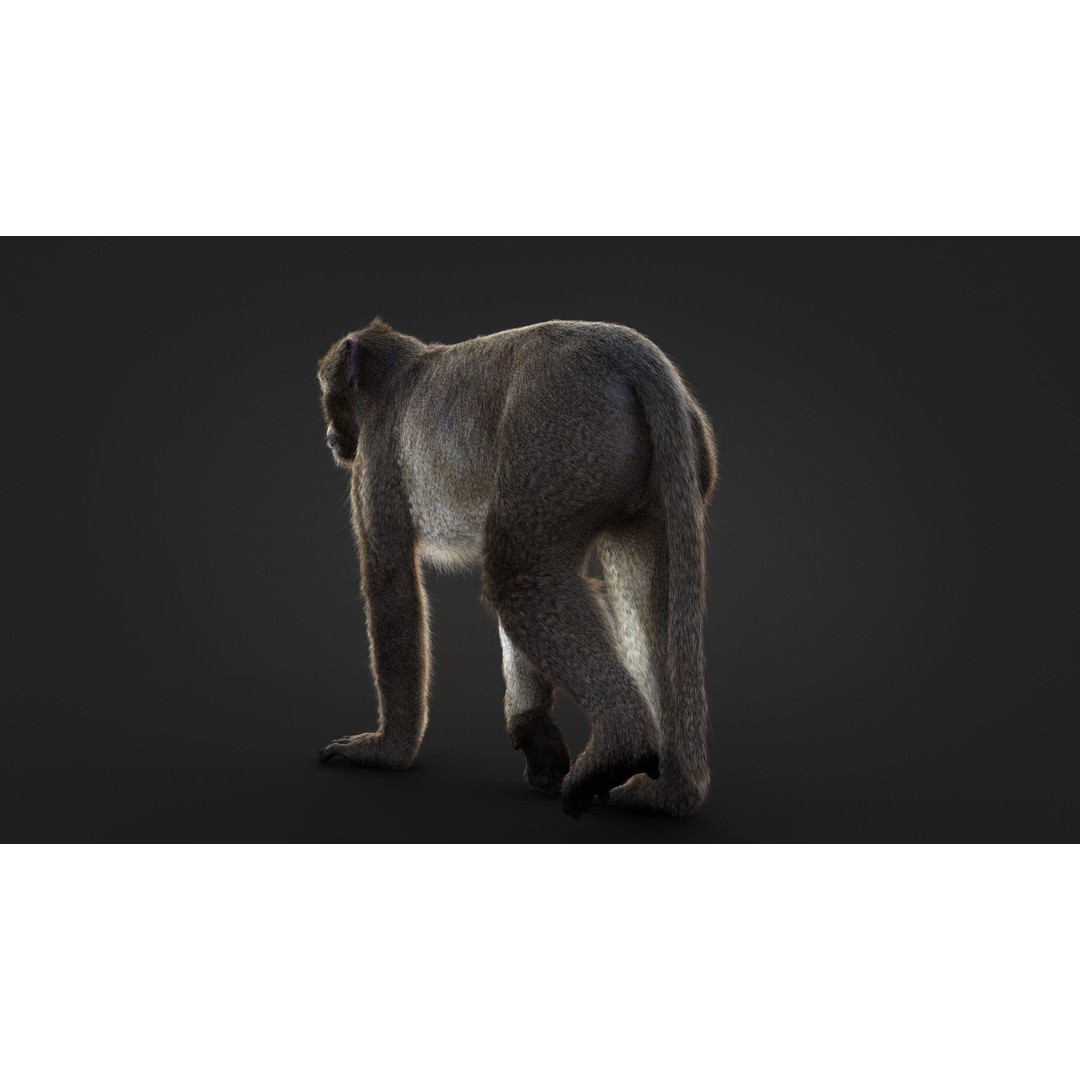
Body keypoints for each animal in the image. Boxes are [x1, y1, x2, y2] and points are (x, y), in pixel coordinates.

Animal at [316, 318, 717, 818]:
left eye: (328, 393)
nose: (328, 435)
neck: (395, 373)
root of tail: (622, 350)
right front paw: (533, 731)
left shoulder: (375, 457)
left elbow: (392, 585)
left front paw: (387, 750)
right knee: (644, 600)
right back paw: (664, 793)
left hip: (564, 428)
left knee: (520, 576)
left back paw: (620, 748)